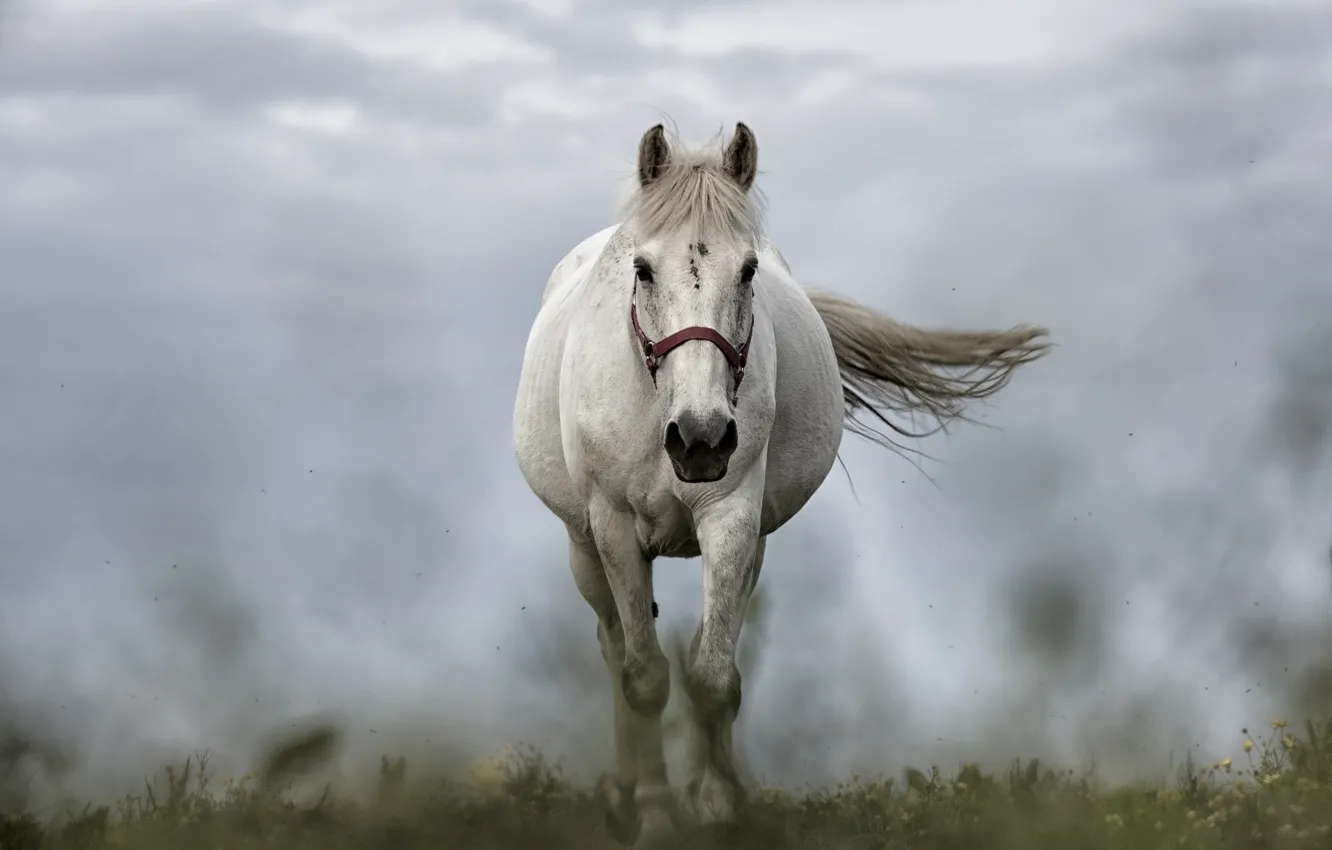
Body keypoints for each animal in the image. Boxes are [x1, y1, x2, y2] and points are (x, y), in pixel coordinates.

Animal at [511, 122, 1051, 846]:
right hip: (582, 546)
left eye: (748, 270)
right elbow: (645, 678)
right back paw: (624, 796)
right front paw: (655, 816)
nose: (701, 438)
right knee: (614, 648)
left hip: (750, 547)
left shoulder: (733, 519)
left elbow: (713, 675)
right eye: (643, 269)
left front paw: (717, 808)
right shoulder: (614, 528)